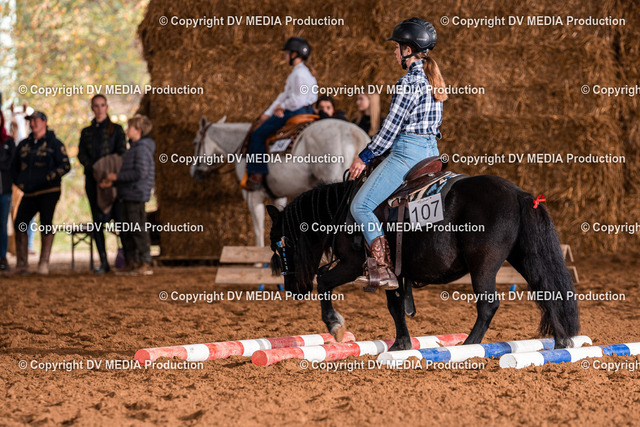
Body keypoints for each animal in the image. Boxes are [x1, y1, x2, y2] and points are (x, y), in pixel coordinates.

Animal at [190, 116, 369, 247]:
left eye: (195, 142)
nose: (193, 171)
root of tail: (353, 132)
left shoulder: (253, 195)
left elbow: (258, 228)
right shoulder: (278, 196)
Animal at [266, 175, 580, 350]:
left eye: (278, 244)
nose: (291, 287)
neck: (341, 211)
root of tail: (518, 194)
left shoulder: (352, 265)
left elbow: (324, 281)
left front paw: (335, 325)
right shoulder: (393, 274)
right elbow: (395, 307)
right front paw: (401, 344)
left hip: (484, 265)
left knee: (488, 305)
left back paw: (469, 345)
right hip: (524, 257)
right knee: (548, 291)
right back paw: (560, 342)